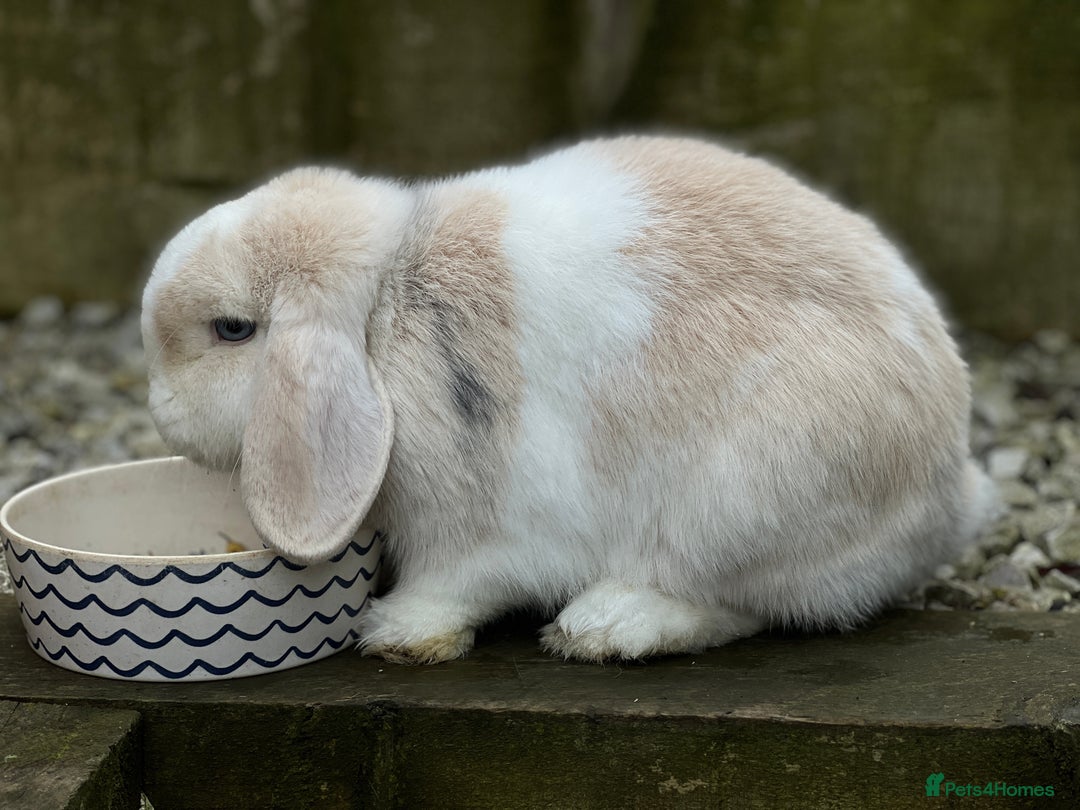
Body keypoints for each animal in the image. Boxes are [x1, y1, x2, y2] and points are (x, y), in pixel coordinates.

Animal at [141, 135, 998, 664]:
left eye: (232, 329)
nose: (158, 413)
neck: (383, 313)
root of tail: (952, 492)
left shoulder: (487, 527)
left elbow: (458, 583)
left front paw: (394, 630)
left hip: (744, 501)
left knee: (744, 604)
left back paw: (607, 627)